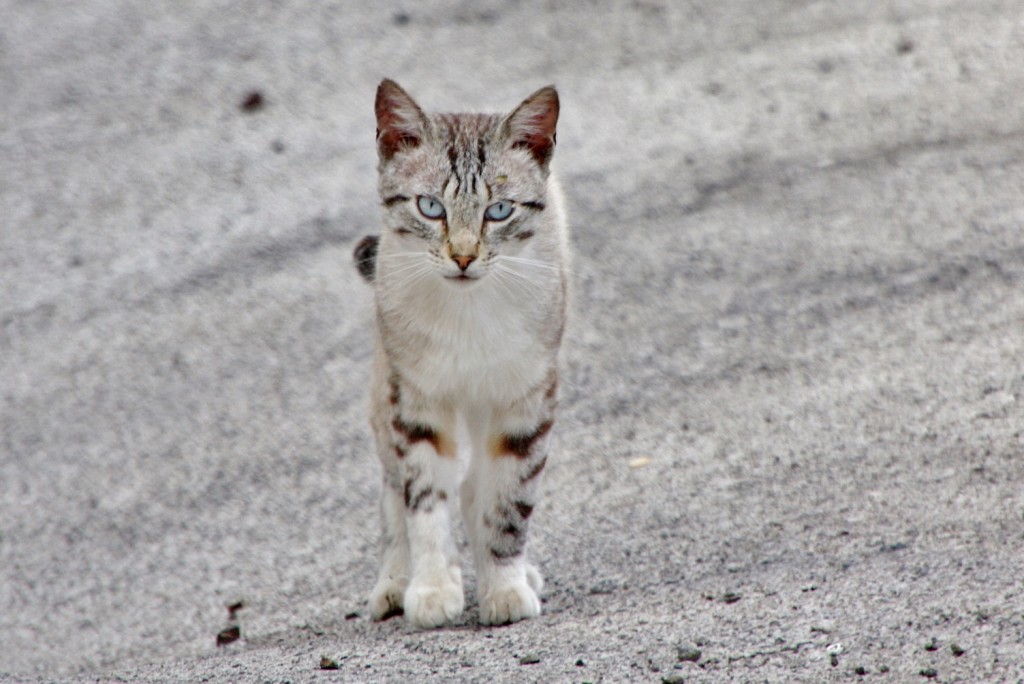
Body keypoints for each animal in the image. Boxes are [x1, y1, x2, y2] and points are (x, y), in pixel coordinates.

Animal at [356, 77, 569, 626]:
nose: (464, 257)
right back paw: (395, 583)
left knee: (476, 486)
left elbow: (508, 502)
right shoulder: (417, 400)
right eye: (431, 207)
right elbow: (425, 501)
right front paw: (432, 590)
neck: (468, 317)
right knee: (393, 492)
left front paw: (505, 588)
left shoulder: (527, 398)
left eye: (500, 210)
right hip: (386, 389)